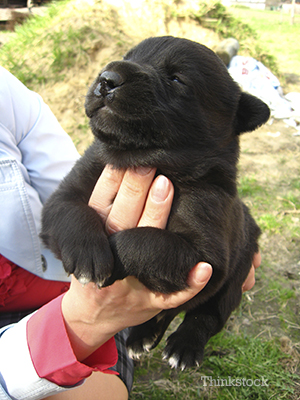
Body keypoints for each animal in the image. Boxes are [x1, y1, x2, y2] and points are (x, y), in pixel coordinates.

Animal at [40, 35, 270, 368]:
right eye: (128, 57)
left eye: (176, 78)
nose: (107, 78)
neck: (144, 161)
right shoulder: (66, 192)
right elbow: (72, 212)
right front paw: (89, 255)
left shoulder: (206, 255)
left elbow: (146, 242)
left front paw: (113, 254)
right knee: (165, 312)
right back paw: (141, 337)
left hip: (238, 269)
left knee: (206, 315)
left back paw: (183, 347)